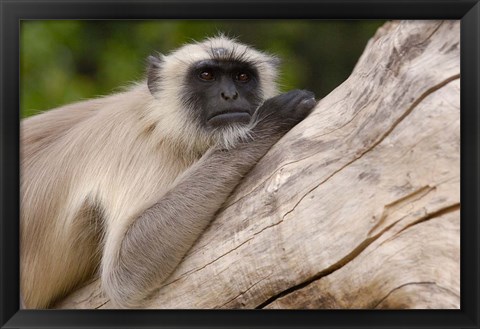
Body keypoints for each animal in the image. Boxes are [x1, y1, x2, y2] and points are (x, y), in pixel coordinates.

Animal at [20, 36, 316, 308]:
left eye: (242, 77)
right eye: (207, 75)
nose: (230, 95)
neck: (161, 119)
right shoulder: (141, 149)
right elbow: (124, 273)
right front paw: (268, 121)